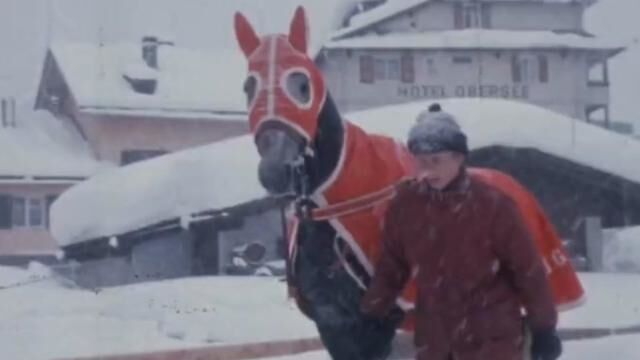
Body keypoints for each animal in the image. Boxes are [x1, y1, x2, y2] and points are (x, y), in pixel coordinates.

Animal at [232, 7, 584, 358]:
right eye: (249, 87)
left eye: (302, 84)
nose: (275, 170)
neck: (335, 210)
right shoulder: (336, 324)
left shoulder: (381, 322)